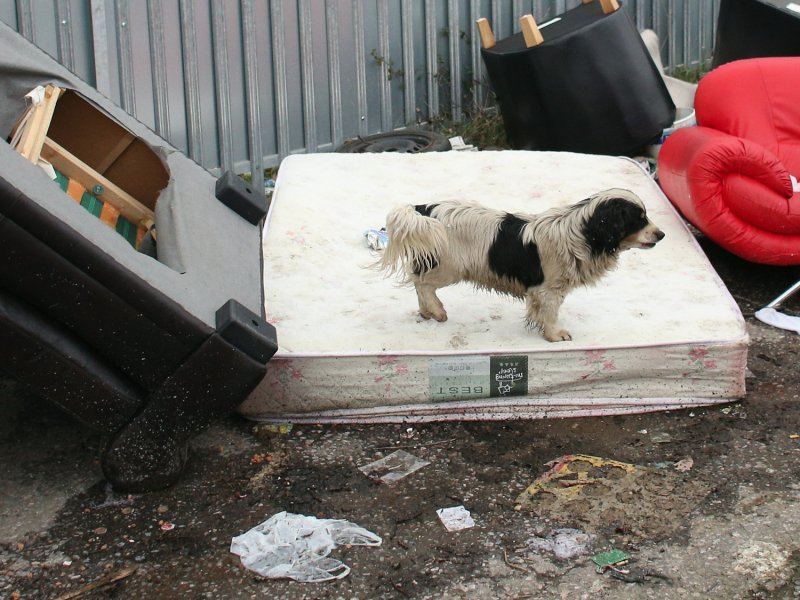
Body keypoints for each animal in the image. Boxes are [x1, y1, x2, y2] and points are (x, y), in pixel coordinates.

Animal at [378, 188, 664, 342]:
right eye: (638, 219)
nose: (661, 235)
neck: (583, 233)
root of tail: (422, 209)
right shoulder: (548, 289)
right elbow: (550, 313)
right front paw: (555, 335)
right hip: (449, 266)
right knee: (422, 284)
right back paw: (436, 311)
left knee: (418, 281)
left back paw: (426, 312)